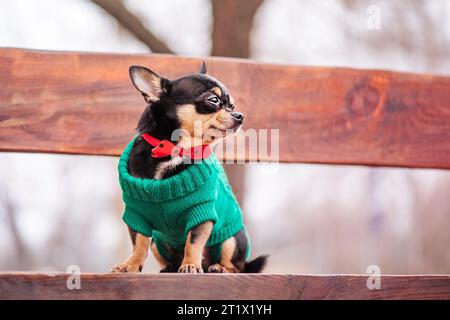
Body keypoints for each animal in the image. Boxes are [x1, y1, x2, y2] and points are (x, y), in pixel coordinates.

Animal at [111, 63, 268, 274]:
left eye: (232, 106)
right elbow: (139, 243)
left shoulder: (201, 211)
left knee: (236, 266)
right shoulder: (137, 213)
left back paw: (218, 268)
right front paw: (130, 265)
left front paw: (191, 265)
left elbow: (192, 242)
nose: (239, 115)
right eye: (214, 100)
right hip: (158, 243)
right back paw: (169, 268)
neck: (176, 149)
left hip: (233, 239)